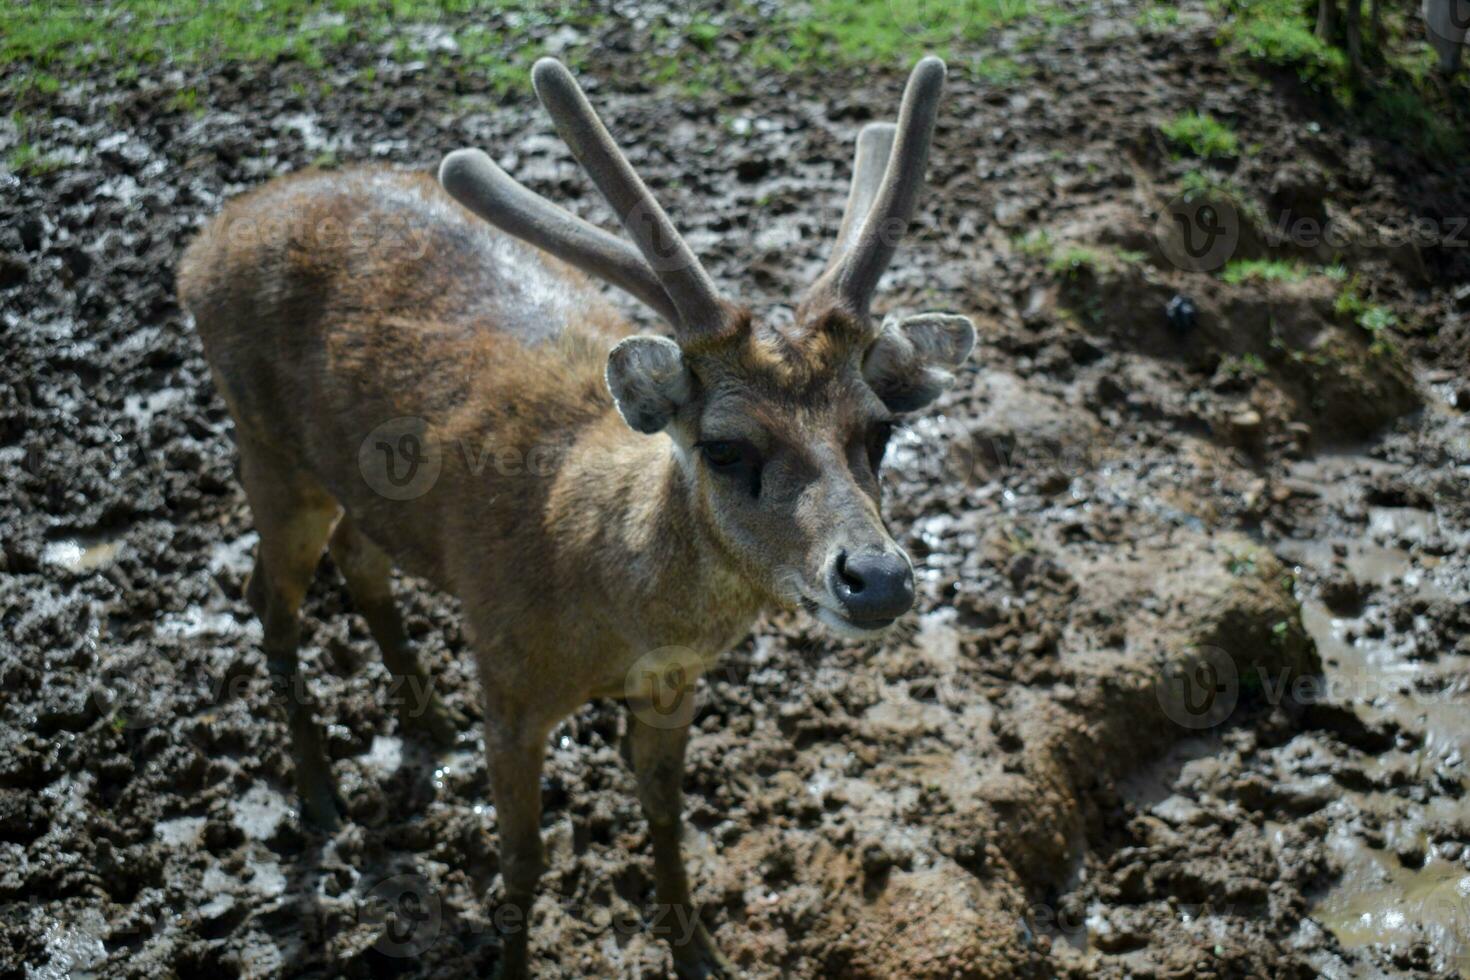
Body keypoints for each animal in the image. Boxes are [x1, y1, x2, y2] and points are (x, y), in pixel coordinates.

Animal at [177, 55, 970, 980]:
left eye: (880, 430)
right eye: (724, 446)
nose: (876, 579)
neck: (606, 605)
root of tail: (205, 240)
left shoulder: (674, 683)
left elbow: (665, 811)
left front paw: (700, 951)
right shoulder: (507, 676)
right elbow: (523, 856)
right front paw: (511, 959)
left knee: (354, 556)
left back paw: (426, 718)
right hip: (266, 444)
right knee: (270, 598)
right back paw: (318, 794)